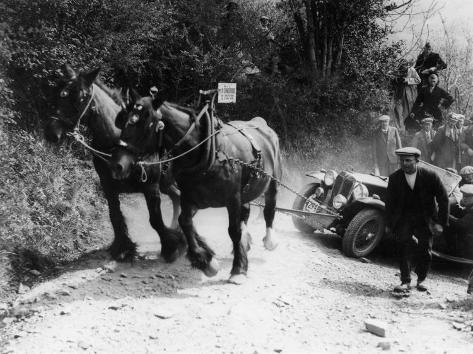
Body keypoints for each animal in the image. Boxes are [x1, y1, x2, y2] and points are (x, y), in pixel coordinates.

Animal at [44, 65, 184, 262]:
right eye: (58, 93)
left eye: (80, 97)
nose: (51, 132)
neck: (116, 140)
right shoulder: (108, 185)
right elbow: (115, 216)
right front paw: (123, 248)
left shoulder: (150, 186)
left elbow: (155, 220)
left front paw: (172, 247)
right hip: (165, 182)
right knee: (176, 195)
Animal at [110, 92, 280, 284]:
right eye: (124, 121)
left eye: (146, 124)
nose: (117, 164)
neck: (210, 154)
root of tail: (260, 122)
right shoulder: (190, 197)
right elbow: (184, 221)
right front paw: (205, 261)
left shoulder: (233, 199)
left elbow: (234, 231)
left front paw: (238, 269)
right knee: (246, 211)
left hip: (273, 180)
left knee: (270, 207)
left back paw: (270, 239)